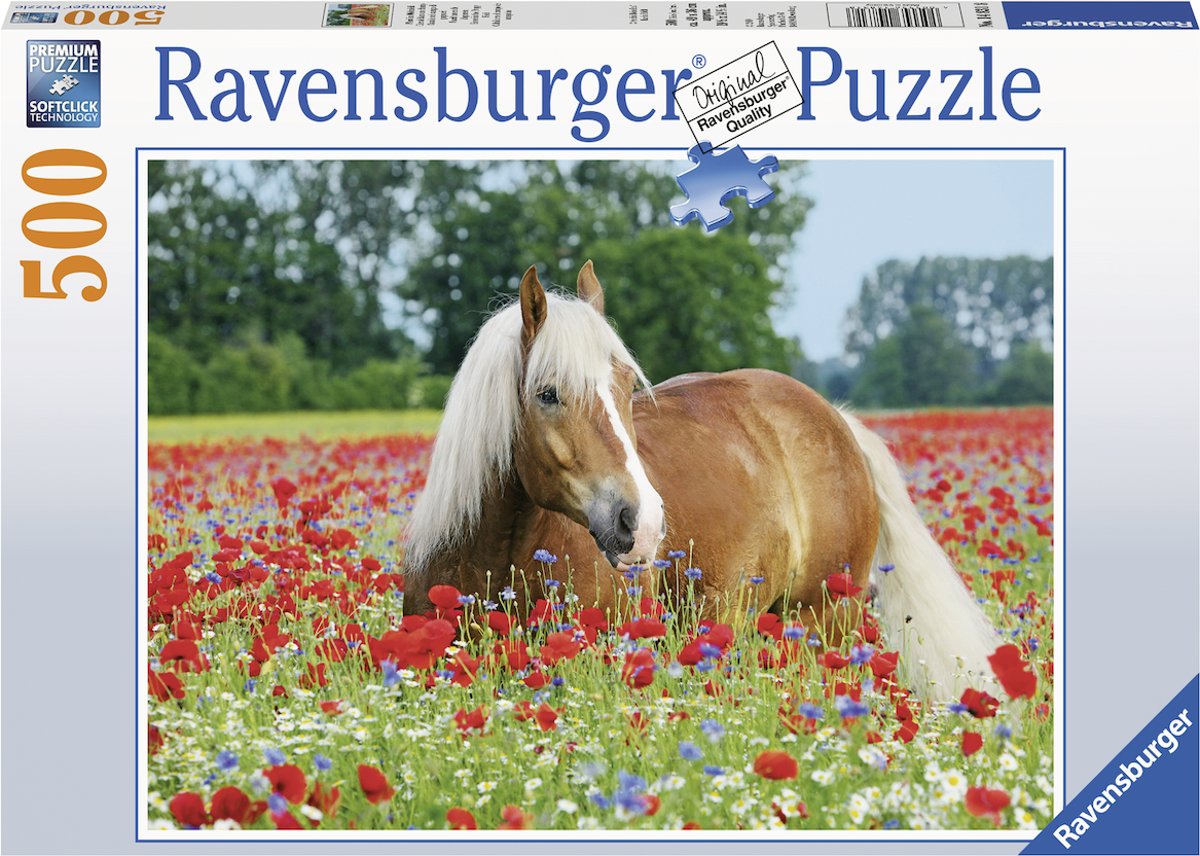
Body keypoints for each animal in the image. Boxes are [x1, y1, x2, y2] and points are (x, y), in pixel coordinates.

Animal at [402, 261, 998, 698]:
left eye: (626, 386)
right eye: (547, 393)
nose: (640, 523)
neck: (497, 556)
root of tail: (834, 418)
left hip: (824, 618)